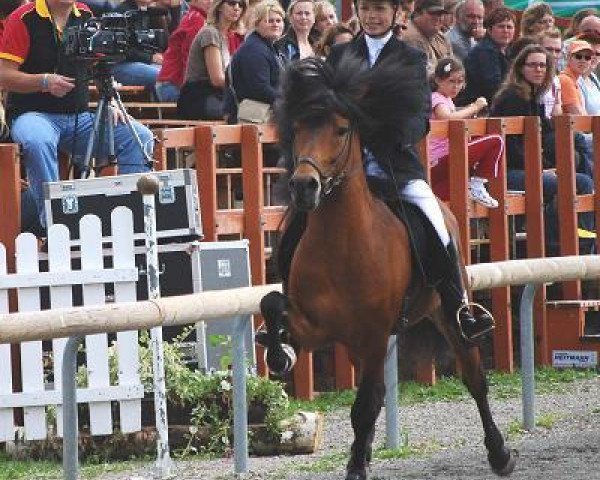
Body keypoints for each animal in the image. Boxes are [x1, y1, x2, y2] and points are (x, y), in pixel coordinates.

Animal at [260, 57, 516, 480]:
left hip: (446, 314)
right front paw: (280, 352)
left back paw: (500, 454)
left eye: (341, 129)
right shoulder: (317, 327)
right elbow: (272, 302)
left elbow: (364, 407)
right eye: (296, 129)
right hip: (355, 344)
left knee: (473, 378)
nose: (303, 186)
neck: (342, 243)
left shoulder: (375, 333)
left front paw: (355, 469)